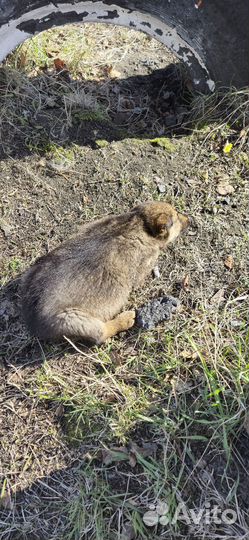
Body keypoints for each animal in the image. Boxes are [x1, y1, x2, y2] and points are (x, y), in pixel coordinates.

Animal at [20, 200, 189, 344]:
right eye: (176, 217)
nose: (189, 219)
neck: (140, 223)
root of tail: (32, 320)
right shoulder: (145, 263)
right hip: (75, 321)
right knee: (102, 334)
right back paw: (126, 318)